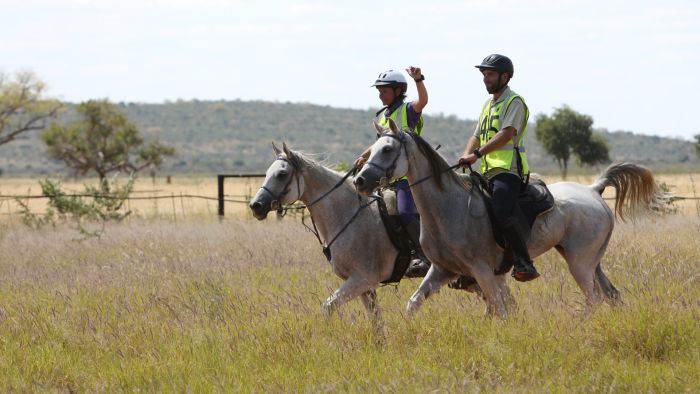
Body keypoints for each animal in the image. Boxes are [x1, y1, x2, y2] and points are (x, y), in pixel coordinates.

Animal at [356, 121, 660, 318]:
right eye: (371, 148)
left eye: (386, 150)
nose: (360, 180)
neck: (448, 209)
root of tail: (593, 190)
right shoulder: (443, 270)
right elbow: (413, 304)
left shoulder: (482, 272)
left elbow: (500, 311)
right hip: (589, 261)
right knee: (611, 295)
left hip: (580, 263)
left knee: (593, 298)